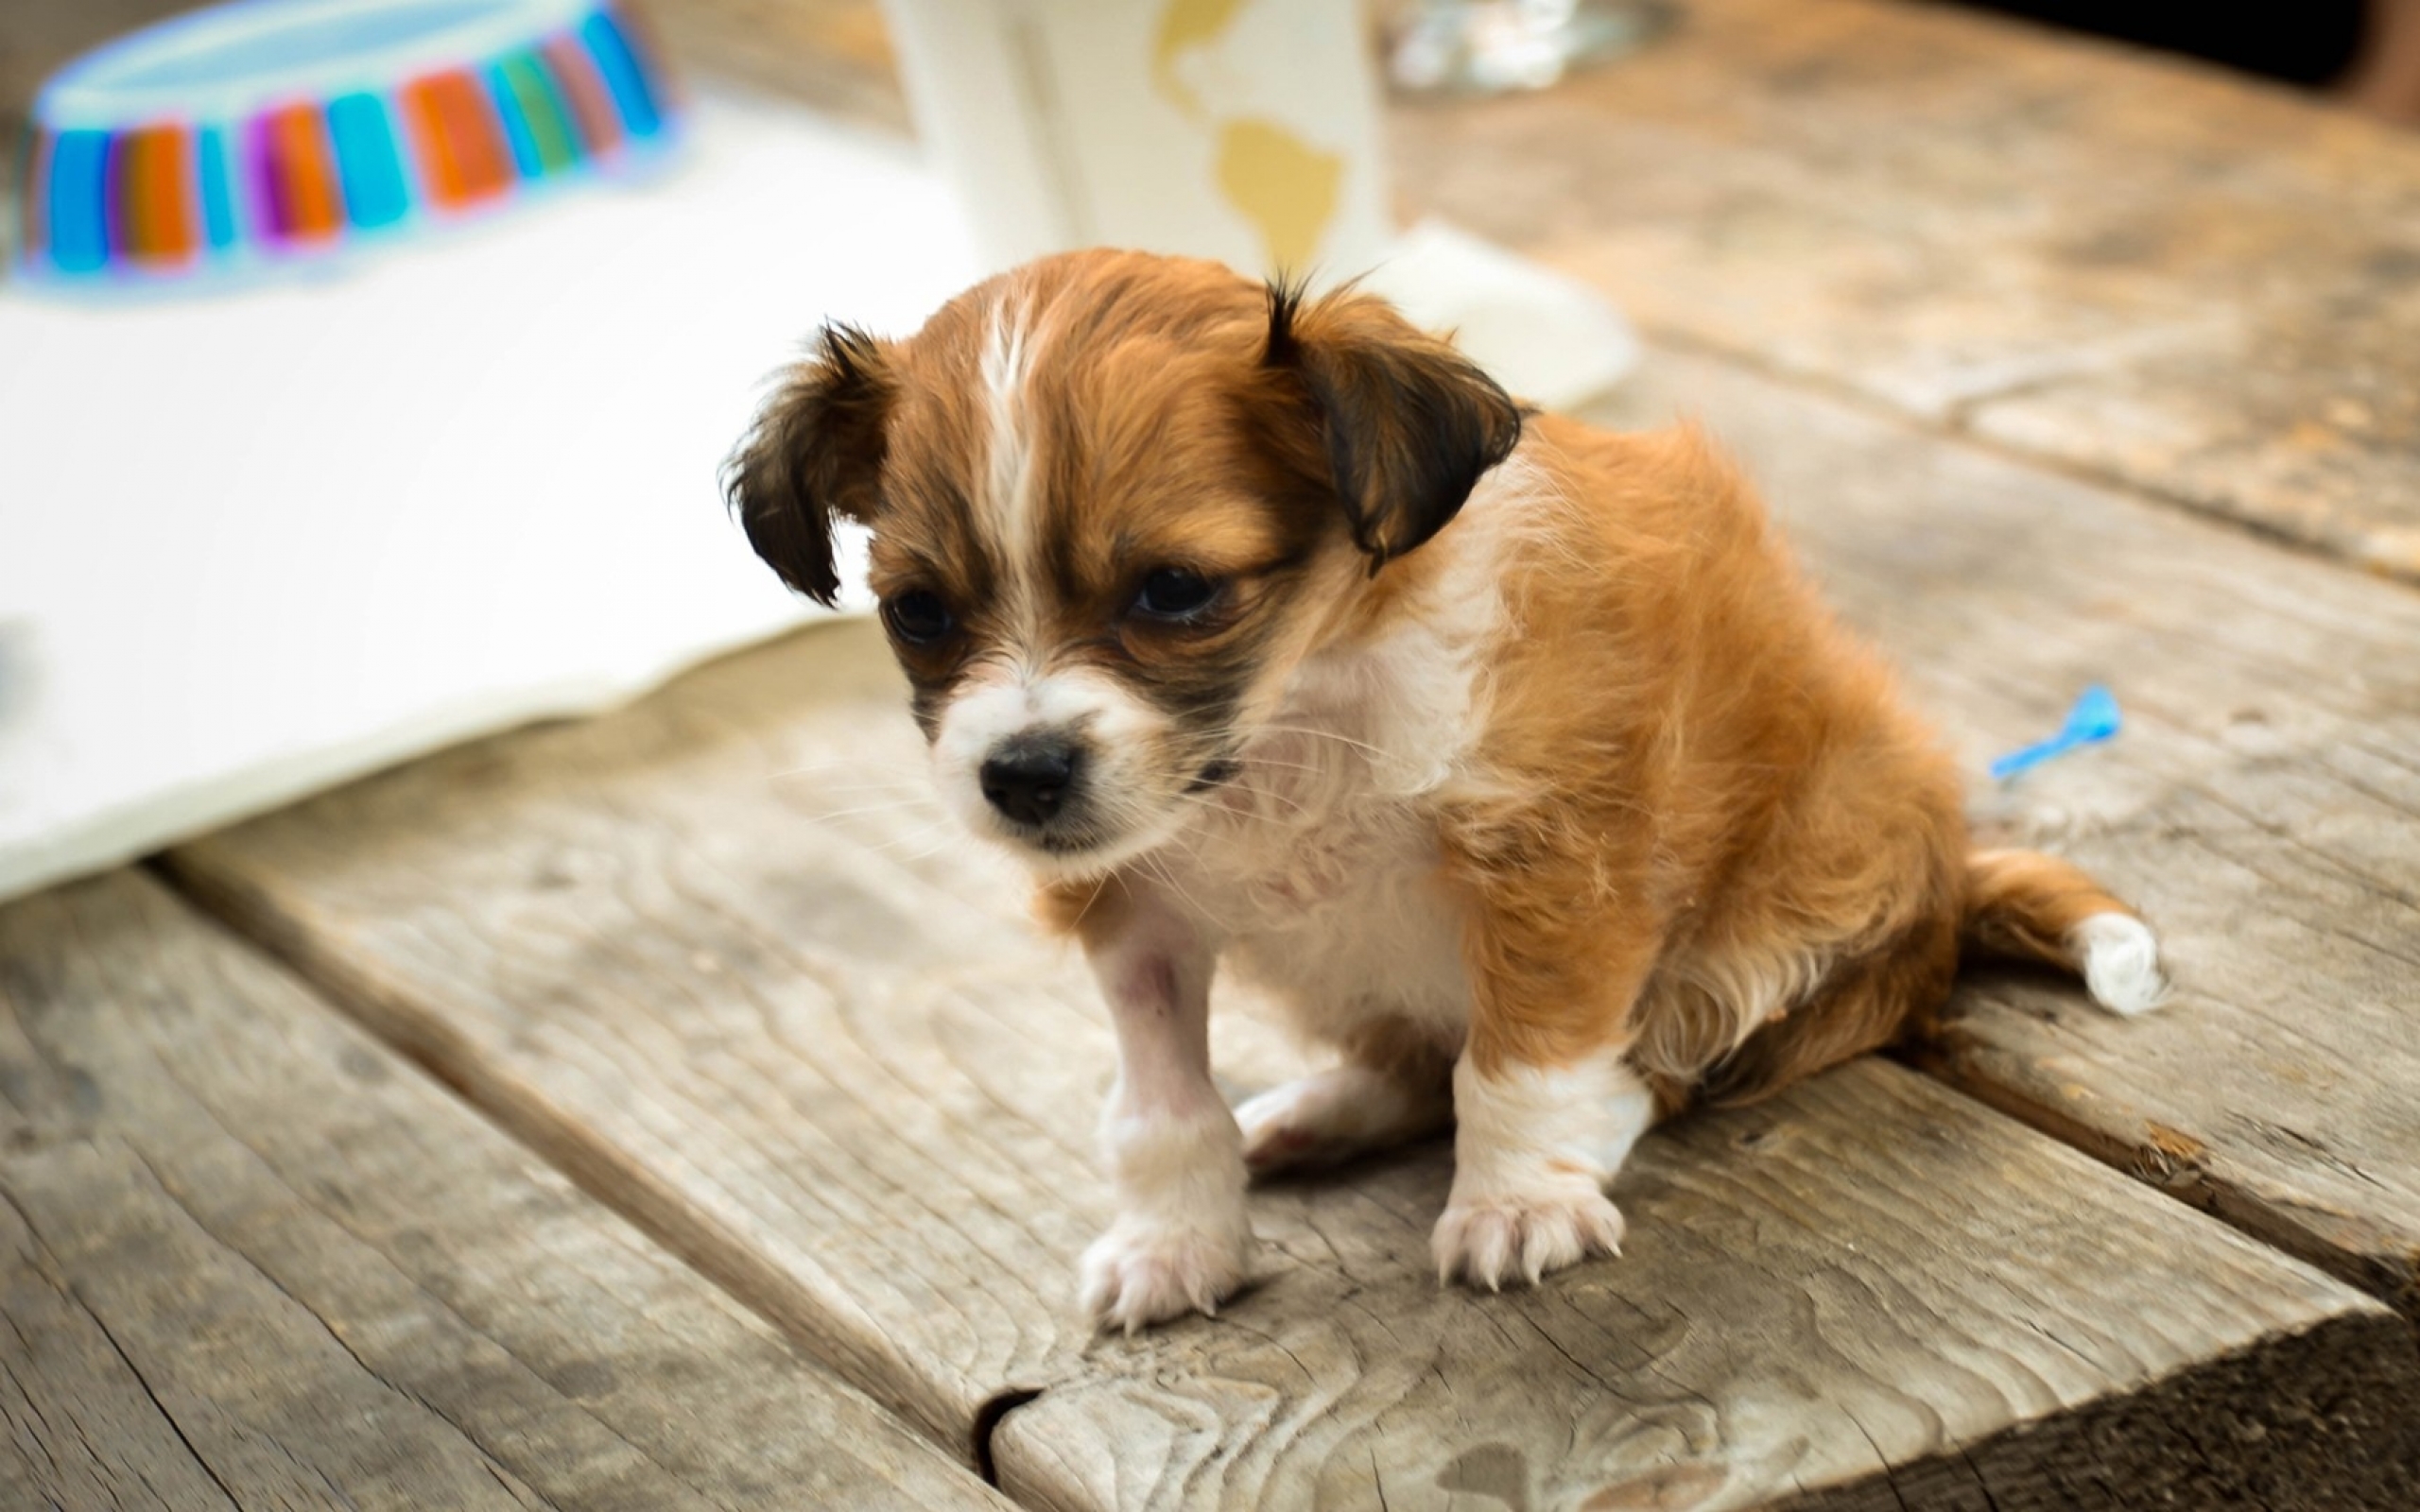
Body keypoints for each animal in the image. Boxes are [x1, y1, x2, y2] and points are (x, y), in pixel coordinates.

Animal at [720, 249, 2178, 1335]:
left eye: (1176, 590)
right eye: (917, 613)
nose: (1020, 775)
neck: (1294, 722)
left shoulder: (1556, 865)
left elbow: (1519, 1058)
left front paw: (1517, 1201)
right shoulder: (1136, 904)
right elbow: (1158, 1104)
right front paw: (1174, 1239)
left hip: (1786, 909)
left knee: (1662, 1064)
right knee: (1408, 1055)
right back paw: (1316, 1113)